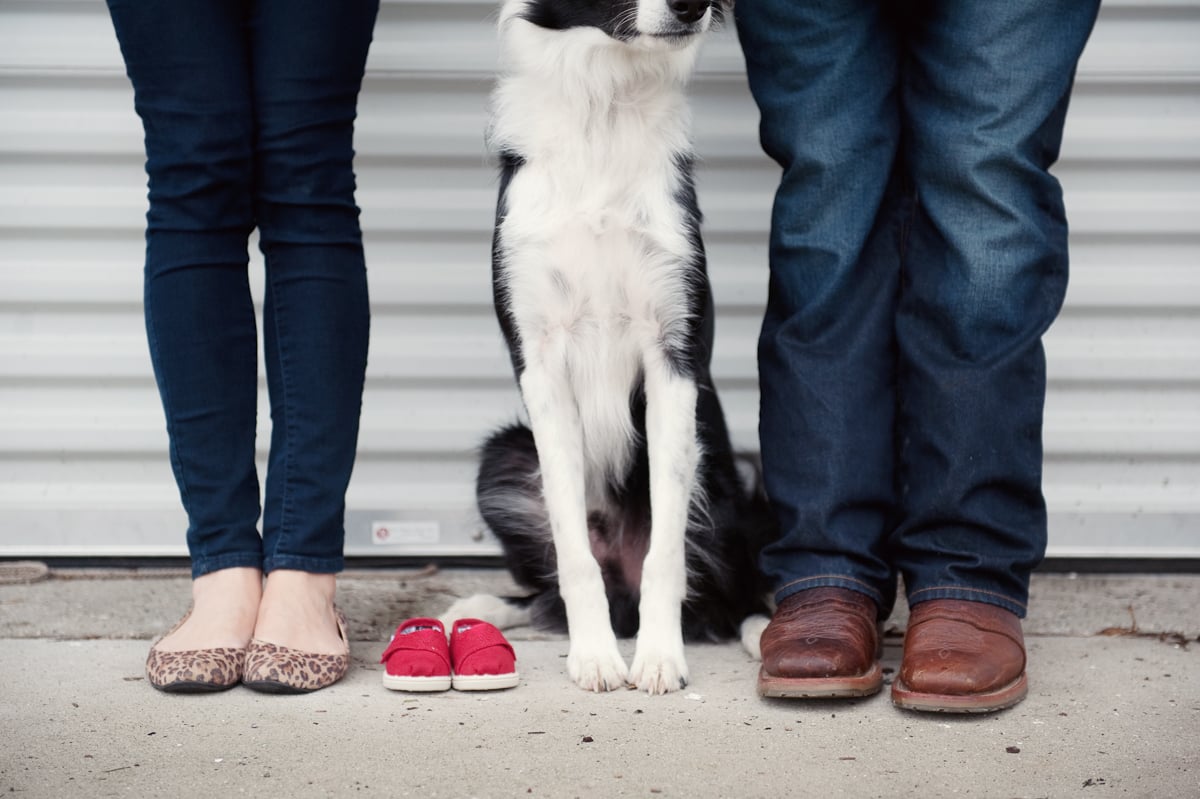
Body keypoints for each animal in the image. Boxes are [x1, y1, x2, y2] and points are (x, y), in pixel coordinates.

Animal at [446, 0, 772, 691]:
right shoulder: (540, 358)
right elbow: (573, 553)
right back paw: (482, 606)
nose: (691, 6)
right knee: (547, 589)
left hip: (724, 489)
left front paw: (658, 658)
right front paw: (595, 655)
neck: (605, 102)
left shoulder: (673, 357)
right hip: (503, 455)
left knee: (734, 598)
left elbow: (667, 553)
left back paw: (767, 634)